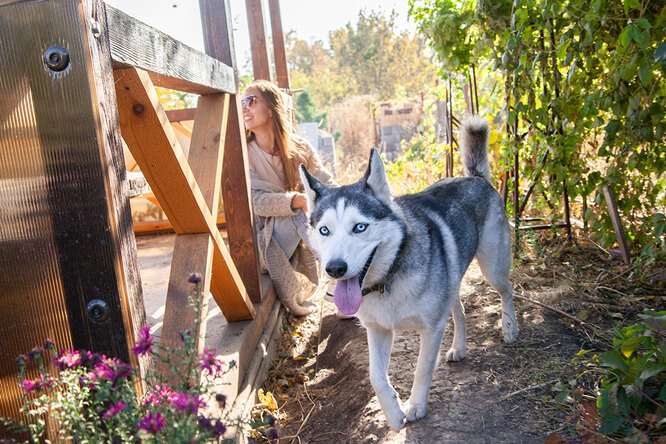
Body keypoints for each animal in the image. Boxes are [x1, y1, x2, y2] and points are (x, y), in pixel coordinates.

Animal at [300, 116, 520, 432]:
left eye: (360, 227)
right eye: (324, 230)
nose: (335, 268)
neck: (388, 279)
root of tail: (475, 178)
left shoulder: (431, 327)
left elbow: (422, 369)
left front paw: (415, 406)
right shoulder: (378, 330)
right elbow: (375, 377)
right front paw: (393, 414)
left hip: (493, 266)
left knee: (506, 290)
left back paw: (509, 328)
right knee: (460, 308)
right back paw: (459, 347)